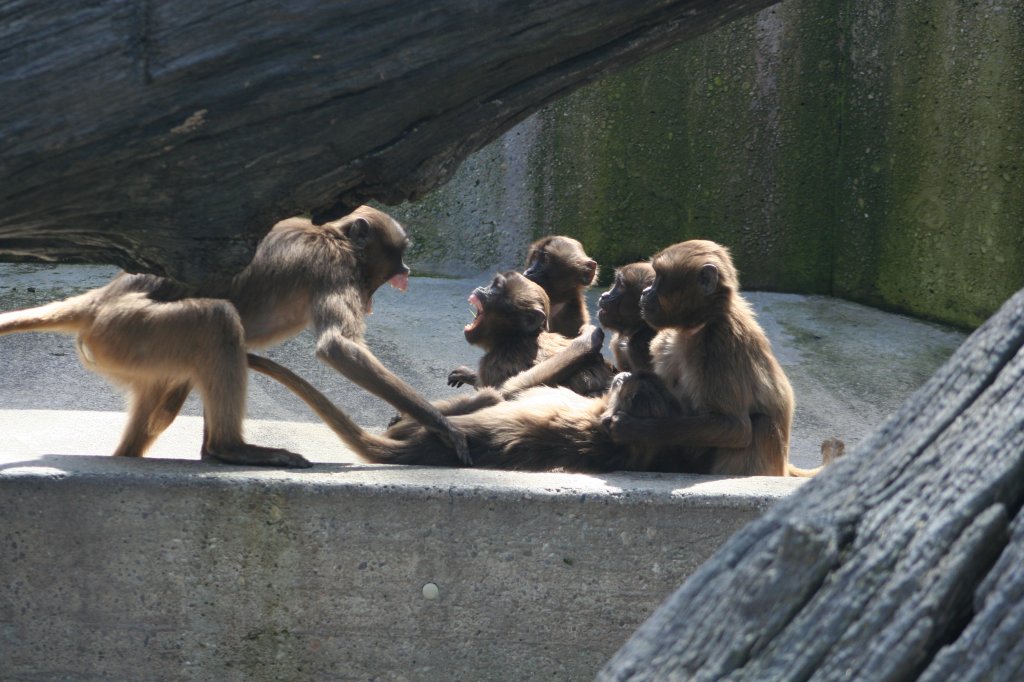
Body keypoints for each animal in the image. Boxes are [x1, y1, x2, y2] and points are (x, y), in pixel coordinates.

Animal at [0, 204, 468, 464]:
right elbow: (338, 347)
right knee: (218, 322)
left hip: (126, 345)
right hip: (125, 330)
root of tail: (100, 300)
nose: (407, 269)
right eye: (400, 256)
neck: (329, 234)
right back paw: (227, 448)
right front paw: (440, 423)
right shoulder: (334, 267)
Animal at [598, 241, 815, 475]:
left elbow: (735, 427)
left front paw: (635, 428)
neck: (703, 323)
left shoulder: (718, 346)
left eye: (659, 278)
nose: (645, 293)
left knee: (760, 425)